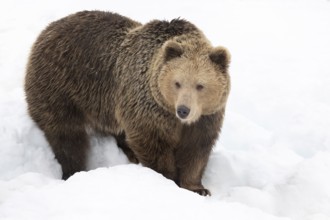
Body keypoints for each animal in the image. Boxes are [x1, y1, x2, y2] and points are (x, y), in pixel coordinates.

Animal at [24, 10, 231, 196]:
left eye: (200, 85)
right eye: (177, 83)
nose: (183, 110)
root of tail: (48, 29)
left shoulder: (205, 118)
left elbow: (196, 150)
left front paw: (198, 188)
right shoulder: (149, 109)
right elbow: (152, 144)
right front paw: (167, 178)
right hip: (61, 87)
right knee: (67, 136)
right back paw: (73, 170)